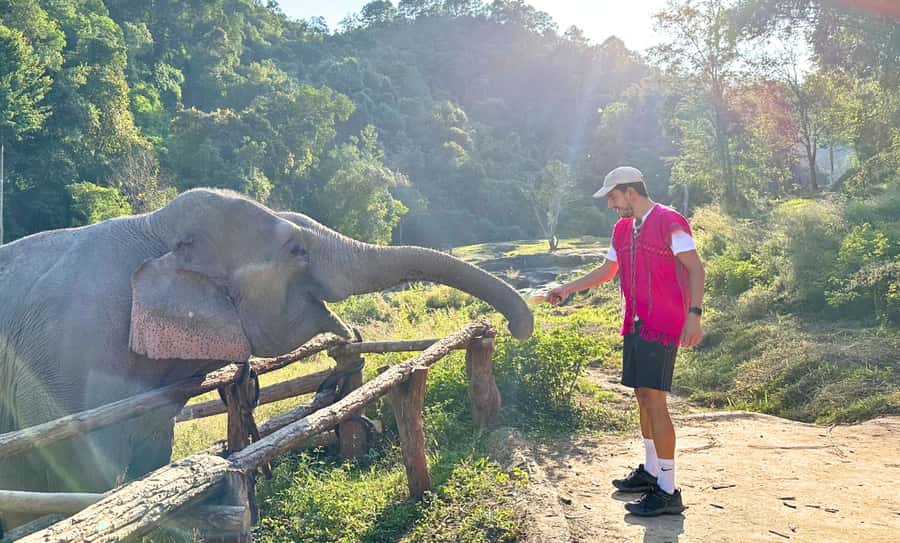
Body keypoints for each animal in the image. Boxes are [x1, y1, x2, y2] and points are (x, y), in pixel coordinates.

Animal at [0, 188, 533, 531]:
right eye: (296, 249)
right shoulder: (63, 365)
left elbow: (152, 460)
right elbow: (89, 478)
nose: (516, 327)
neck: (150, 227)